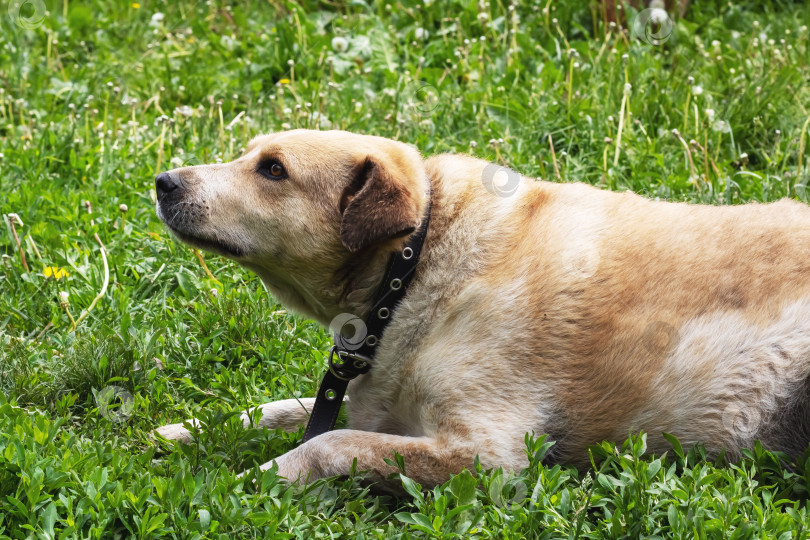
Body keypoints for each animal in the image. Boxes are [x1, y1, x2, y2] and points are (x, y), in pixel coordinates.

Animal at [153, 130, 808, 486]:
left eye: (273, 170)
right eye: (248, 156)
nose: (163, 181)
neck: (415, 265)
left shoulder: (486, 453)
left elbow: (324, 443)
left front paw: (251, 484)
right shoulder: (371, 403)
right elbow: (276, 410)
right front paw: (180, 431)